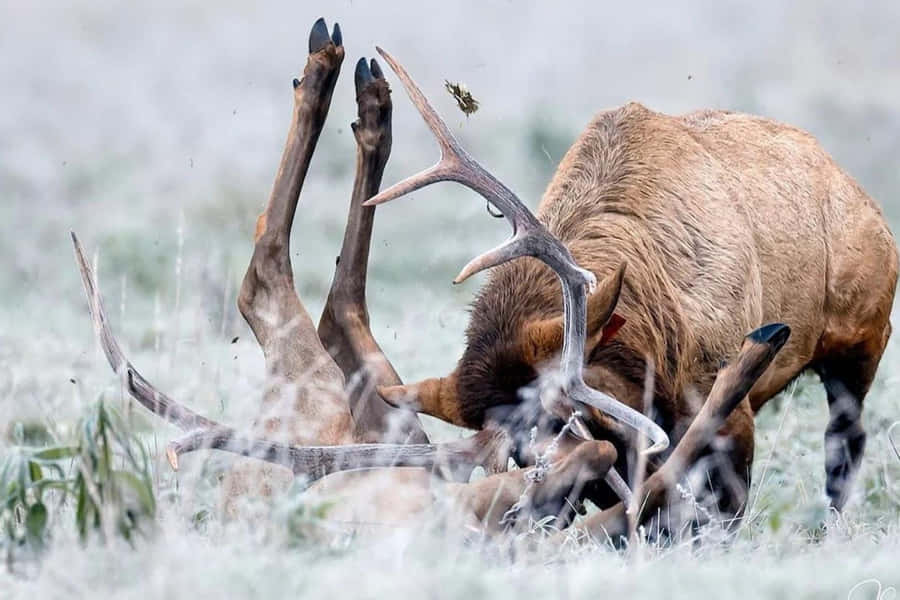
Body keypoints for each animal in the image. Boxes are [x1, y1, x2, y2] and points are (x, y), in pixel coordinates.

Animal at [73, 17, 802, 541]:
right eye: (552, 436)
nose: (574, 447)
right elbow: (653, 478)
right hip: (322, 383)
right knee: (273, 279)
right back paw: (340, 73)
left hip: (356, 396)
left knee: (316, 300)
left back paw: (360, 91)